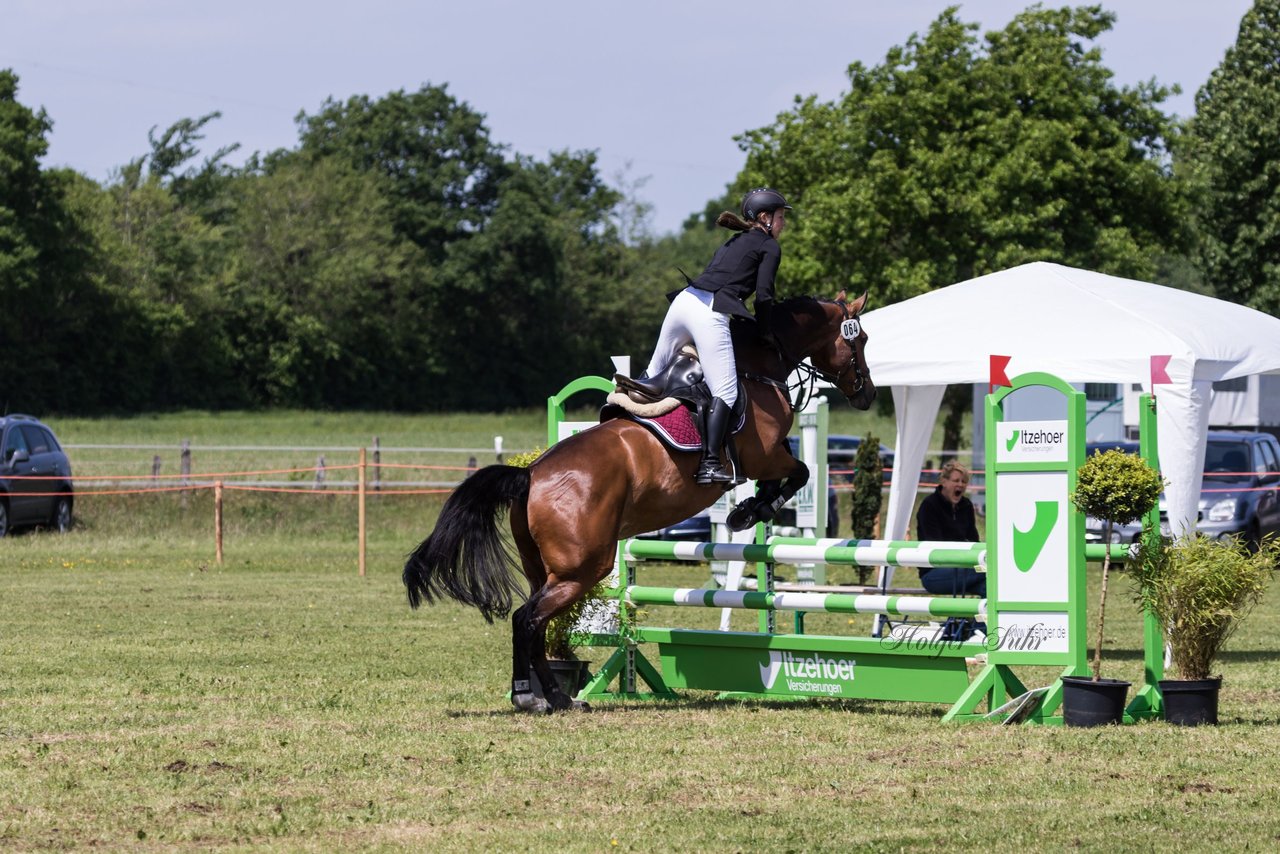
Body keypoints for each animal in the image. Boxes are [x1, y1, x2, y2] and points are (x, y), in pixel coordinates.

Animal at [404, 294, 875, 717]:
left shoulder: (768, 458)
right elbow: (799, 472)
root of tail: (532, 474)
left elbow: (792, 475)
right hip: (581, 569)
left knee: (538, 625)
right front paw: (750, 512)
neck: (757, 367)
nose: (866, 393)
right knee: (528, 619)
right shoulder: (765, 455)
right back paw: (538, 696)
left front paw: (749, 510)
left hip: (544, 567)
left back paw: (553, 696)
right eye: (861, 338)